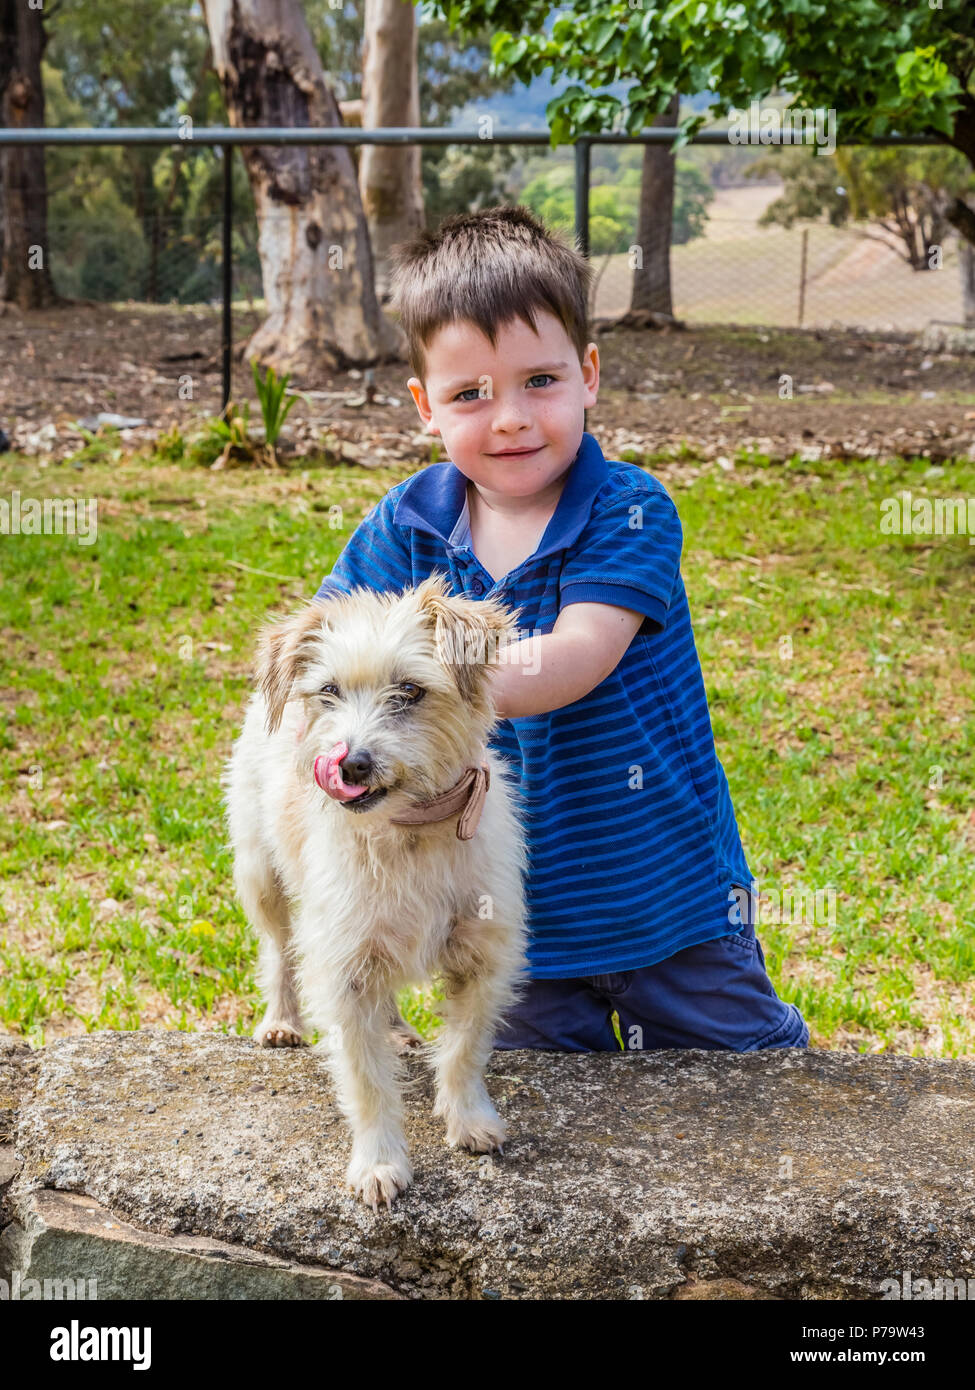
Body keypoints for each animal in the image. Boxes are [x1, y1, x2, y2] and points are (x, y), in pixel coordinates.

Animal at [223, 572, 528, 1206]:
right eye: (329, 691)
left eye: (410, 690)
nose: (352, 764)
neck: (408, 832)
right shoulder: (344, 970)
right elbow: (366, 1080)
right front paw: (380, 1162)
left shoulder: (485, 956)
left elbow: (464, 1048)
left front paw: (469, 1119)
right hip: (261, 876)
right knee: (278, 950)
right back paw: (282, 1021)